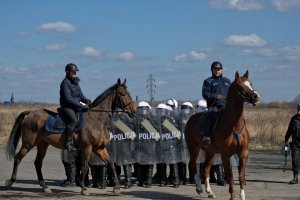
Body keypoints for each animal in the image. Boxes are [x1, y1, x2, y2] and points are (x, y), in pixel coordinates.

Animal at [4, 78, 136, 195]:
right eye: (123, 94)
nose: (133, 111)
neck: (97, 119)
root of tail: (30, 113)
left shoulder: (99, 148)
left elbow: (111, 164)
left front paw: (117, 188)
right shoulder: (87, 148)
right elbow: (84, 167)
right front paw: (83, 188)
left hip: (42, 144)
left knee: (37, 163)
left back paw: (44, 186)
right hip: (28, 144)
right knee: (18, 158)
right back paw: (10, 181)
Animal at [184, 71, 258, 200]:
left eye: (250, 83)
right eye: (240, 86)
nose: (256, 96)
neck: (234, 125)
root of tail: (191, 119)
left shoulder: (243, 153)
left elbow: (241, 177)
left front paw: (242, 196)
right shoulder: (225, 155)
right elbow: (230, 177)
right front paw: (232, 196)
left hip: (211, 152)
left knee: (206, 168)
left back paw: (210, 192)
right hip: (194, 148)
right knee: (193, 165)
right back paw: (199, 189)